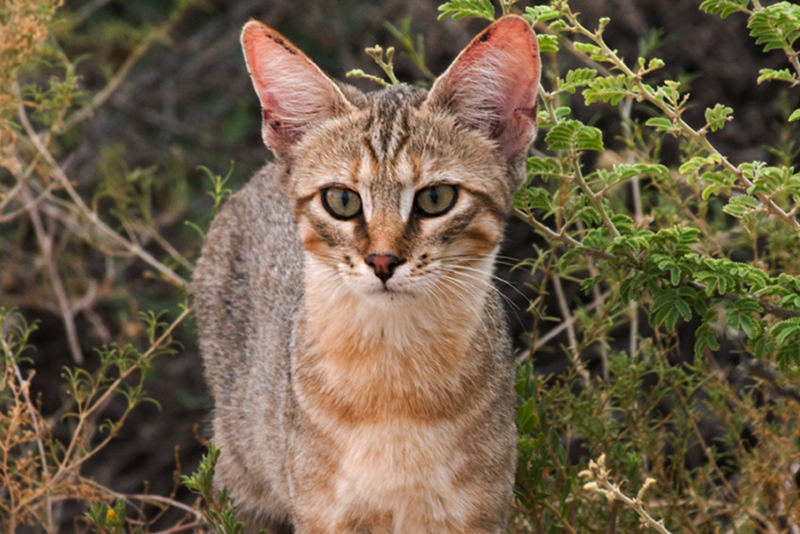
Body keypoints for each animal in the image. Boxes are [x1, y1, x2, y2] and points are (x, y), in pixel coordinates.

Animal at [193, 12, 540, 534]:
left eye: (435, 198)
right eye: (341, 200)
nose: (381, 261)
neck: (393, 384)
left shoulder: (479, 513)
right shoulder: (322, 515)